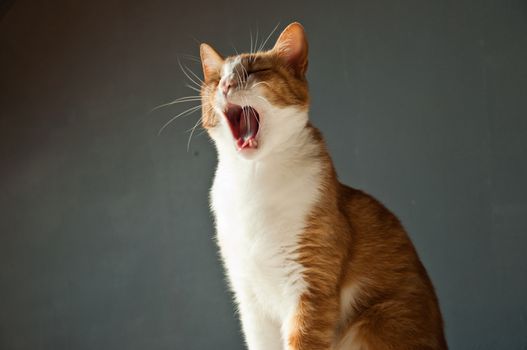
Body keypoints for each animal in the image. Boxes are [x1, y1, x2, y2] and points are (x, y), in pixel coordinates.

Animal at [200, 22, 448, 350]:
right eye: (216, 79)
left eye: (255, 71)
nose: (226, 86)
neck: (251, 180)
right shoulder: (249, 299)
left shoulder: (310, 286)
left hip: (378, 319)